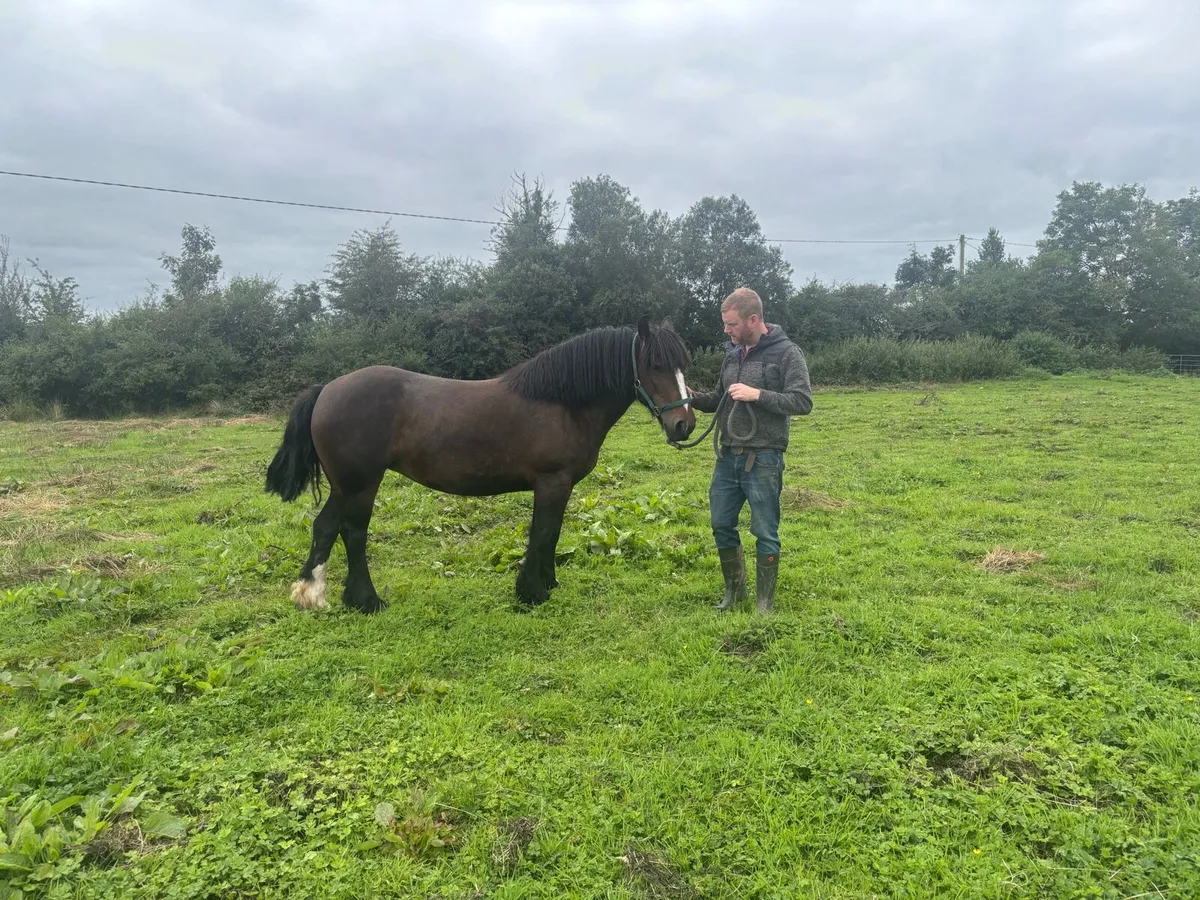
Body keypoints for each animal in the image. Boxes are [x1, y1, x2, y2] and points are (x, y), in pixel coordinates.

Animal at [264, 316, 697, 613]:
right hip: (361, 484)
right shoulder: (552, 482)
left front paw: (548, 584)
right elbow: (543, 534)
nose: (684, 424)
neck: (563, 404)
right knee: (353, 534)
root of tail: (327, 389)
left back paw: (313, 594)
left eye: (683, 364)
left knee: (325, 528)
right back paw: (367, 601)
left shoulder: (562, 486)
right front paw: (531, 593)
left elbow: (553, 535)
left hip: (345, 485)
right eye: (655, 365)